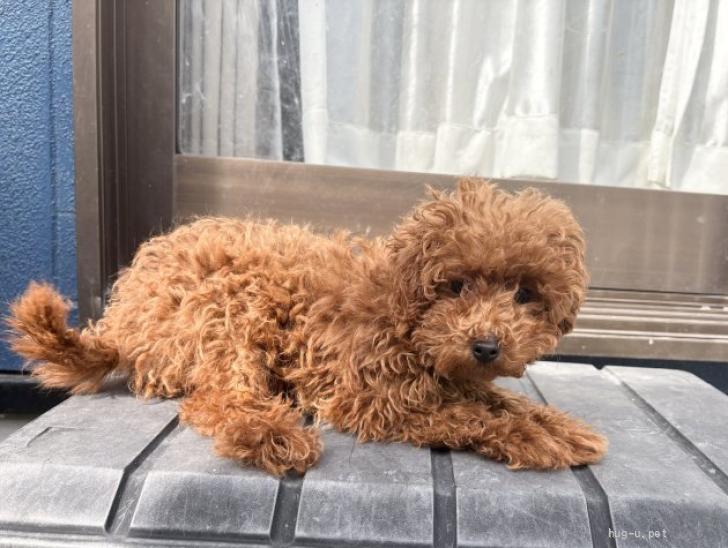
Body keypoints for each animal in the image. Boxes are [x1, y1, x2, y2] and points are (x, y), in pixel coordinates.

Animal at [7, 179, 607, 475]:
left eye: (524, 294)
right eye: (456, 285)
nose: (485, 345)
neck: (405, 321)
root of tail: (121, 319)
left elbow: (495, 400)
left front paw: (556, 424)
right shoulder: (370, 398)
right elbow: (466, 415)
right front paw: (534, 438)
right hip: (229, 304)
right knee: (219, 399)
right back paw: (268, 434)